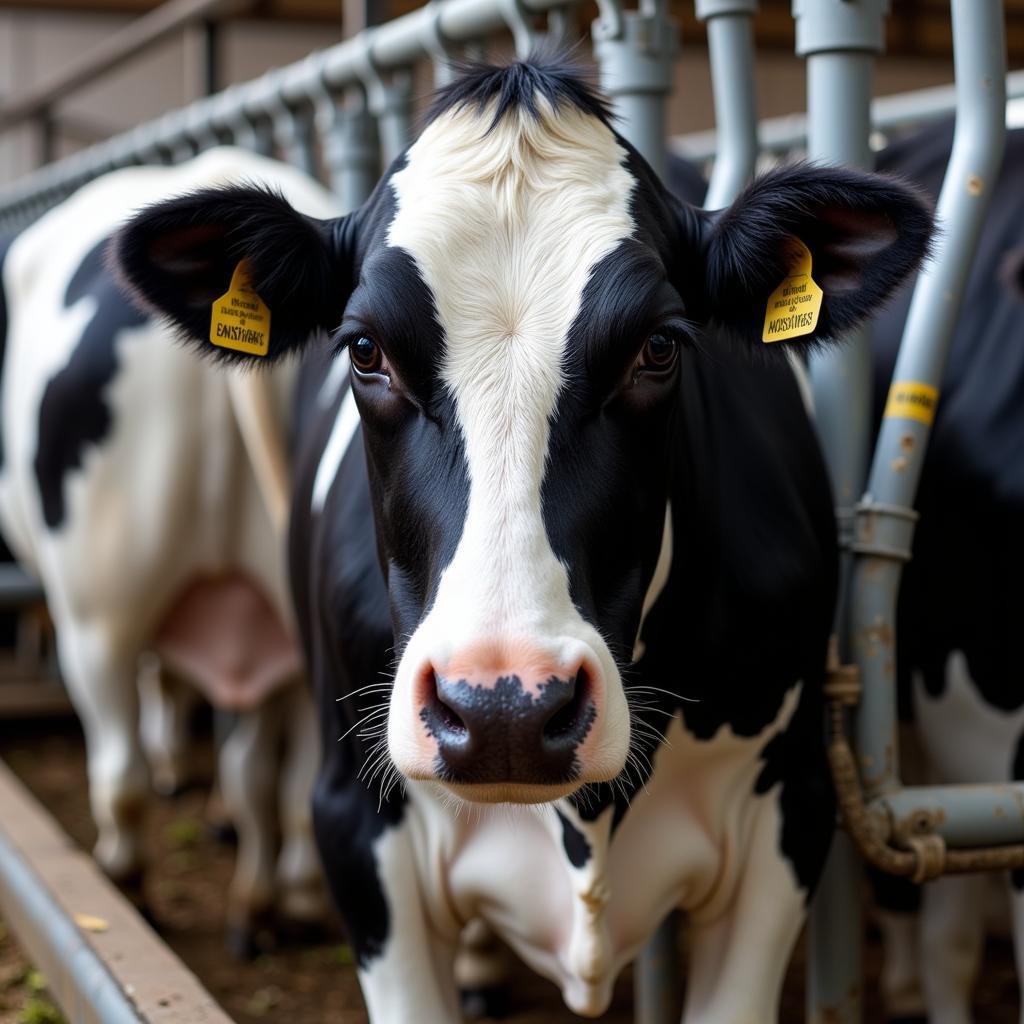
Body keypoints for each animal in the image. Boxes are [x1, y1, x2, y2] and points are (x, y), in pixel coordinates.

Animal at [0, 148, 339, 954]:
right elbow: (254, 767)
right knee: (286, 780)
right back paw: (281, 903)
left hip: (99, 604)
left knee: (118, 771)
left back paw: (128, 884)